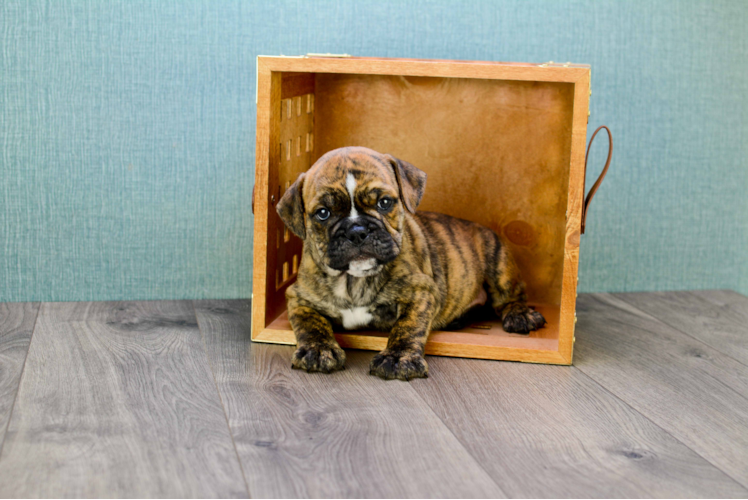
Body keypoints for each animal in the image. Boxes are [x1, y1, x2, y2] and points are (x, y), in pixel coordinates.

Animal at [278, 146, 548, 380]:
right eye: (323, 213)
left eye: (385, 202)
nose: (357, 231)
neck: (355, 279)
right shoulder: (299, 298)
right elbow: (310, 324)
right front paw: (317, 350)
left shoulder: (421, 292)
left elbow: (407, 326)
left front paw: (398, 358)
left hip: (498, 262)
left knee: (509, 297)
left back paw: (520, 315)